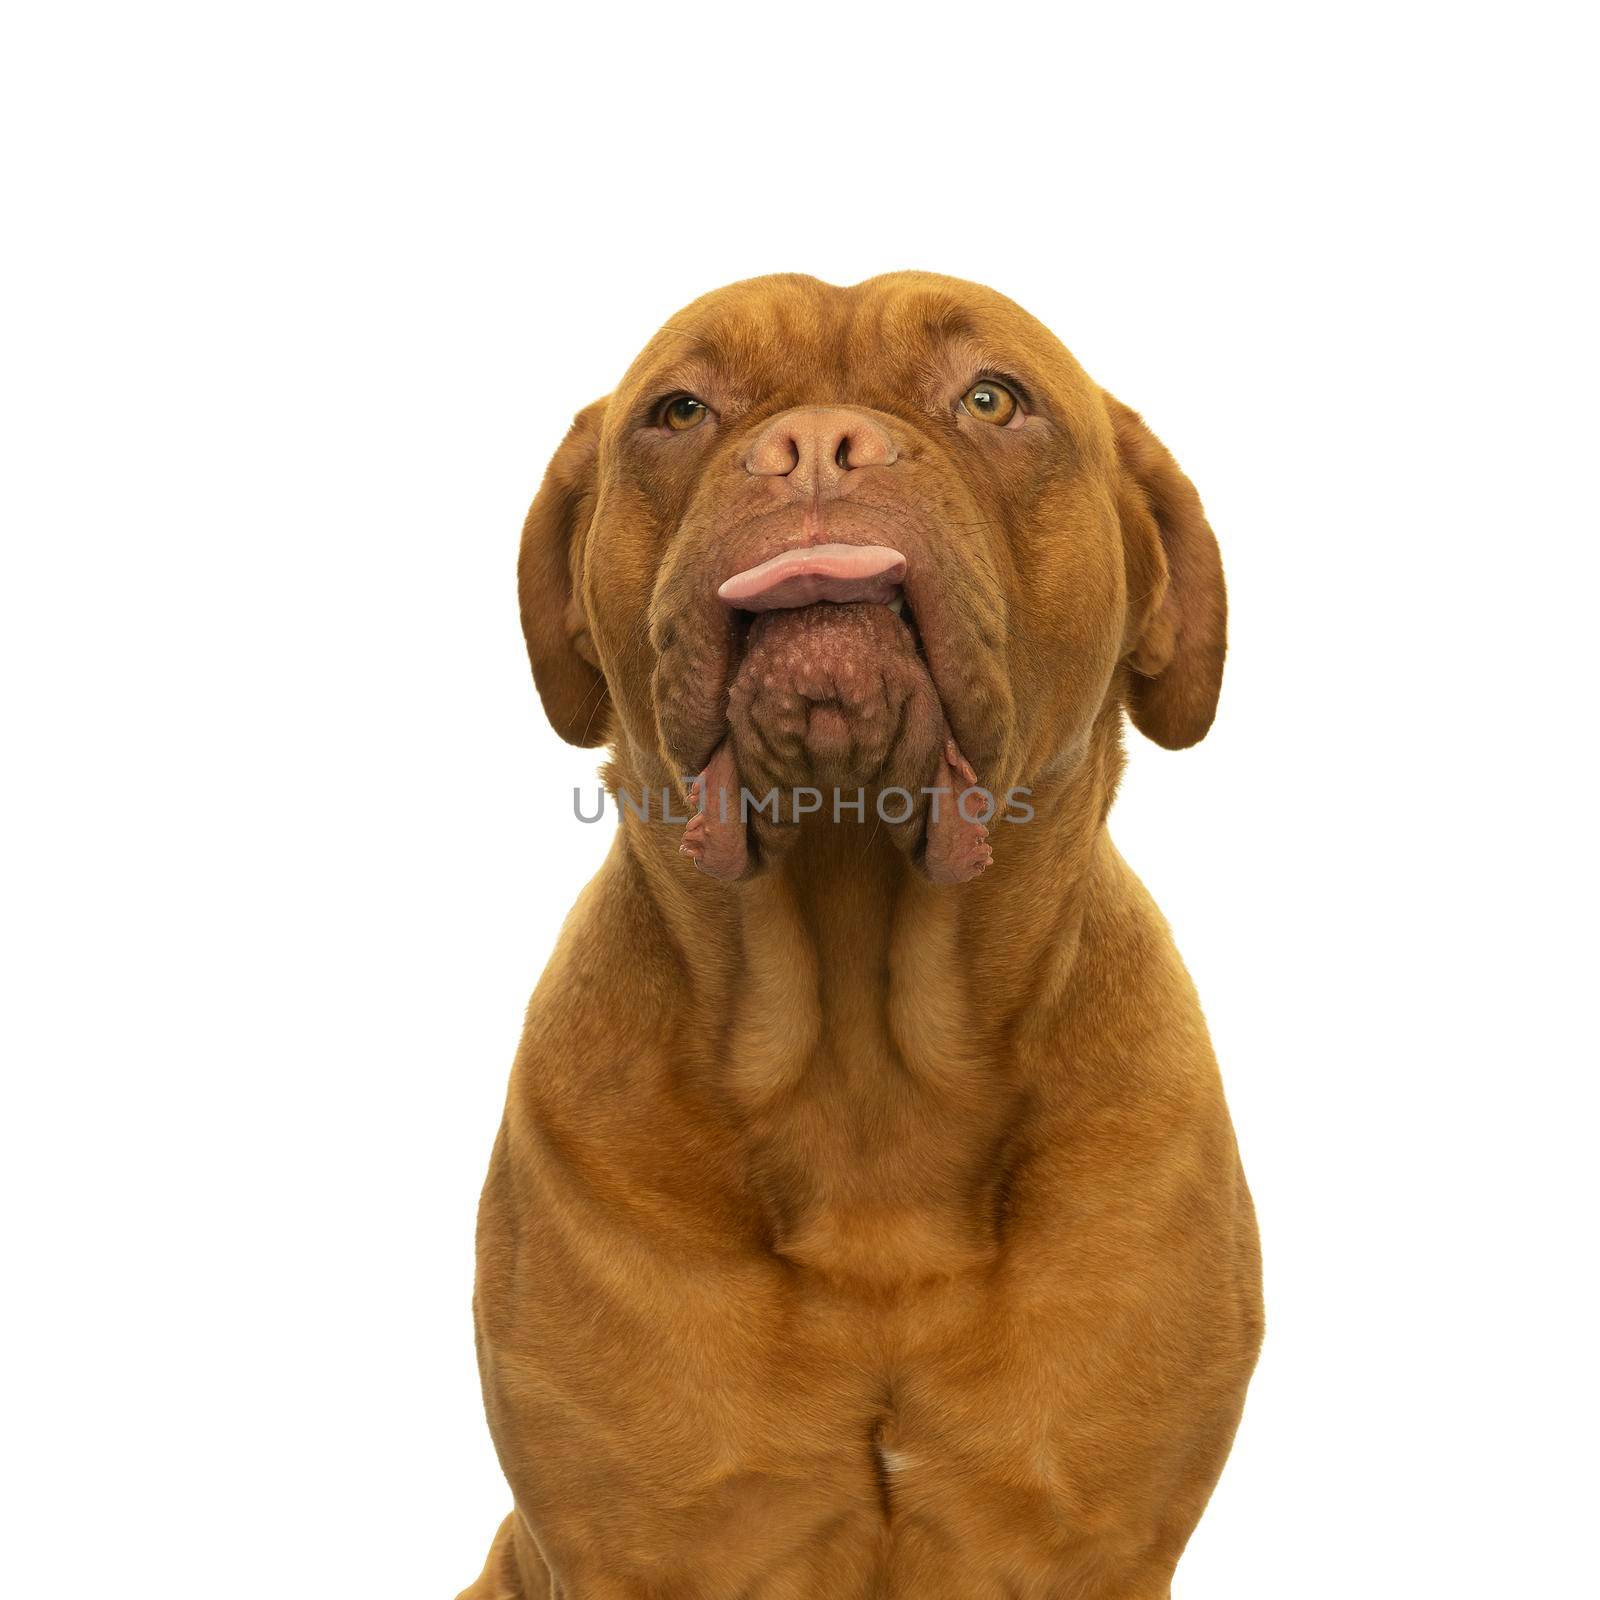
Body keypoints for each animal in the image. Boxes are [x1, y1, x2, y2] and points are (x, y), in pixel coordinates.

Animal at [464, 268, 1260, 1593]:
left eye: (991, 398)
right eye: (680, 410)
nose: (815, 447)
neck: (864, 1074)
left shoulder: (1101, 1540)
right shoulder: (625, 1541)